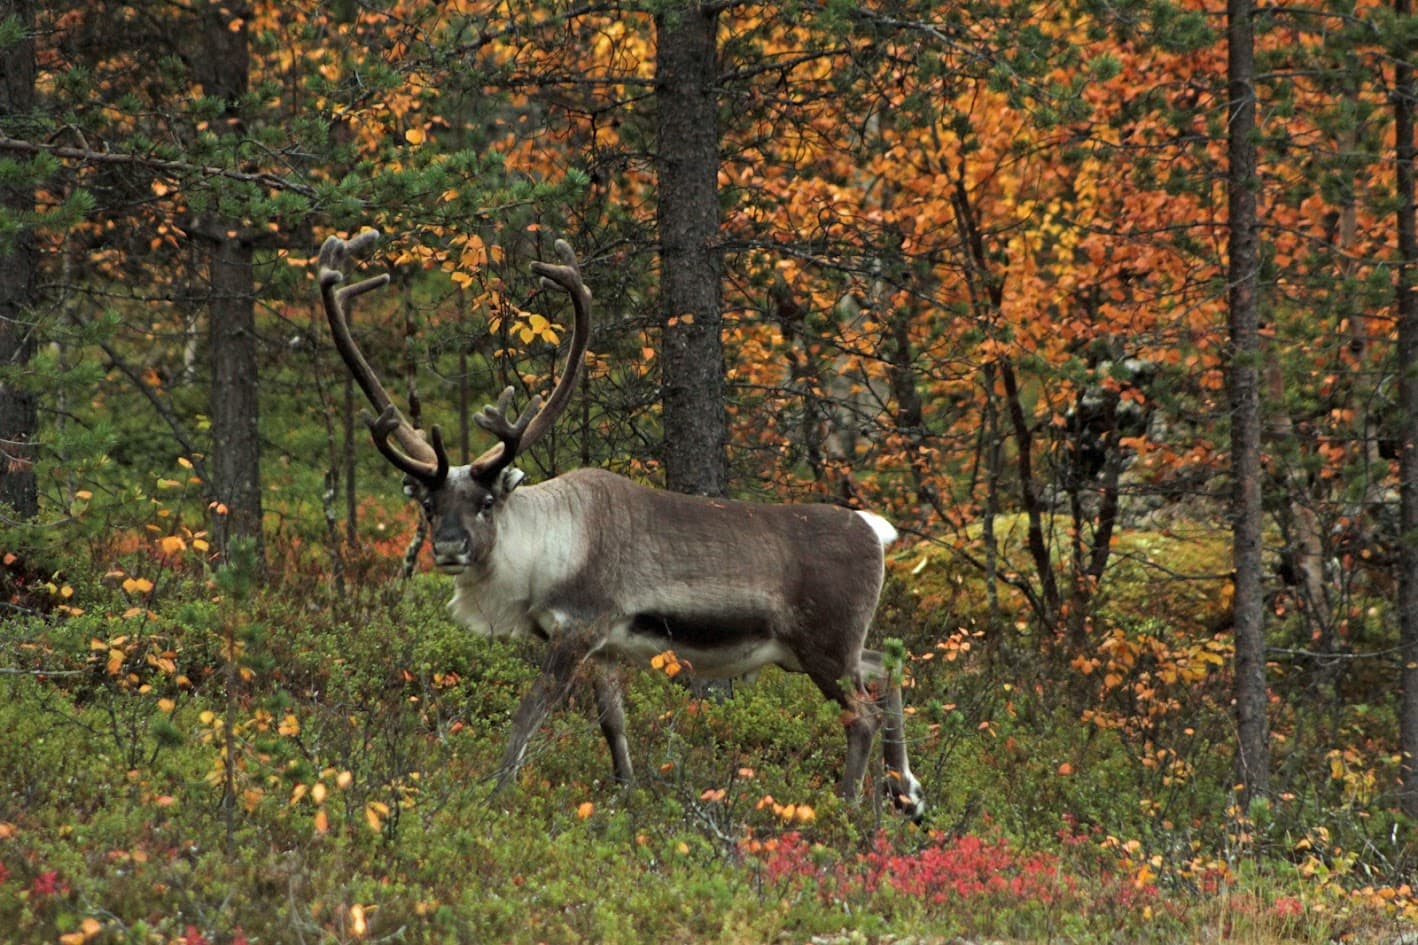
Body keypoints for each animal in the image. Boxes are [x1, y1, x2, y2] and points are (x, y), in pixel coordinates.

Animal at [318, 229, 925, 820]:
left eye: (486, 501)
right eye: (428, 503)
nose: (447, 546)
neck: (540, 553)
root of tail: (875, 529)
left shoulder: (578, 628)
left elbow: (529, 713)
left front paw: (494, 795)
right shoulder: (605, 647)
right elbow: (613, 723)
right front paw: (627, 793)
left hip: (822, 642)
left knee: (863, 712)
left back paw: (849, 809)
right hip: (817, 647)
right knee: (889, 665)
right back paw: (908, 794)